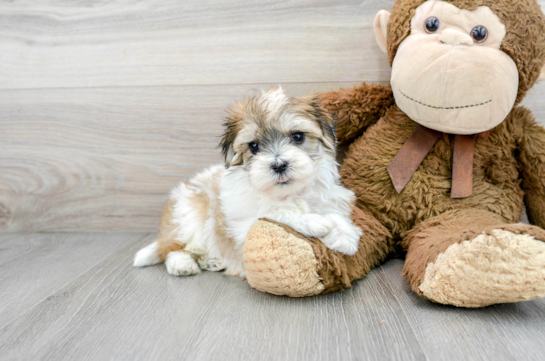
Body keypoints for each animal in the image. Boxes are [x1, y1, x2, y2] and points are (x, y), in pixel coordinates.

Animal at [132, 87, 362, 276]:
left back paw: (211, 261)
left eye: (297, 137)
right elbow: (275, 212)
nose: (279, 165)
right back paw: (182, 264)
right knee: (174, 249)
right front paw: (314, 222)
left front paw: (345, 235)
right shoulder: (243, 225)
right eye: (254, 146)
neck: (287, 193)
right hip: (187, 217)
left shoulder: (328, 198)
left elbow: (333, 212)